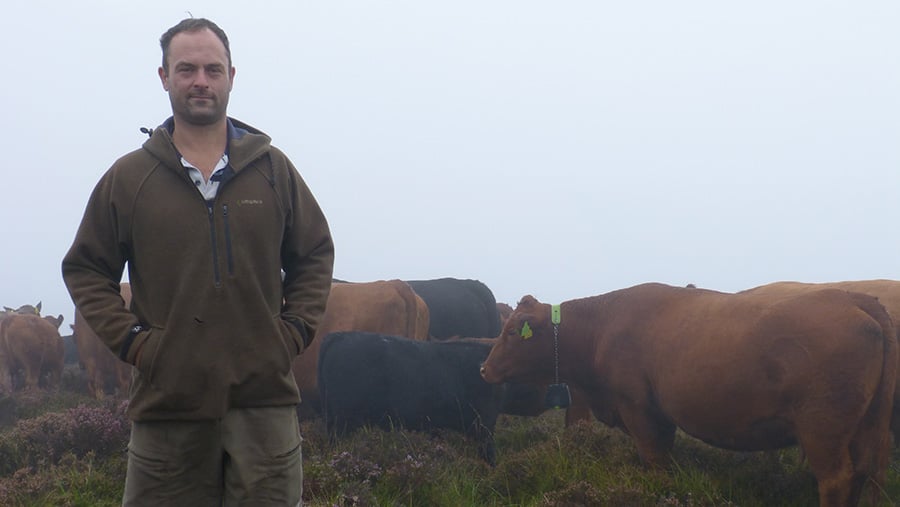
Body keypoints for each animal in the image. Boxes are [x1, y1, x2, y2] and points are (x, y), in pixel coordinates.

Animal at [482, 284, 896, 506]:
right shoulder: (659, 417)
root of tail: (855, 298)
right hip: (869, 429)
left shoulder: (637, 409)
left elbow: (654, 460)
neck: (602, 328)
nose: (483, 369)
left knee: (837, 478)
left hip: (822, 430)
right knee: (869, 474)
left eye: (511, 333)